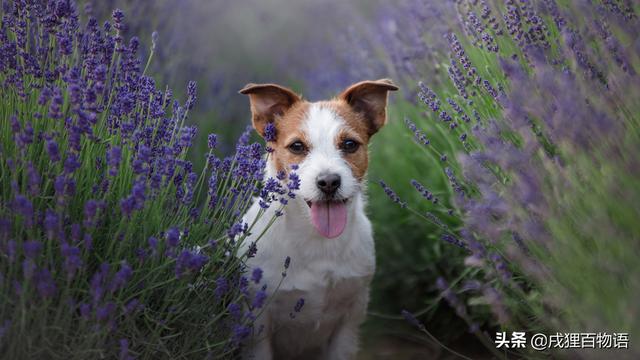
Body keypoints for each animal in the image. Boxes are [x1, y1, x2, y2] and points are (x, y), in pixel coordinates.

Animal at [238, 77, 398, 358]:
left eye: (349, 144)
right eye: (297, 146)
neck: (317, 239)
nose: (329, 182)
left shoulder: (349, 322)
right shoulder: (258, 325)